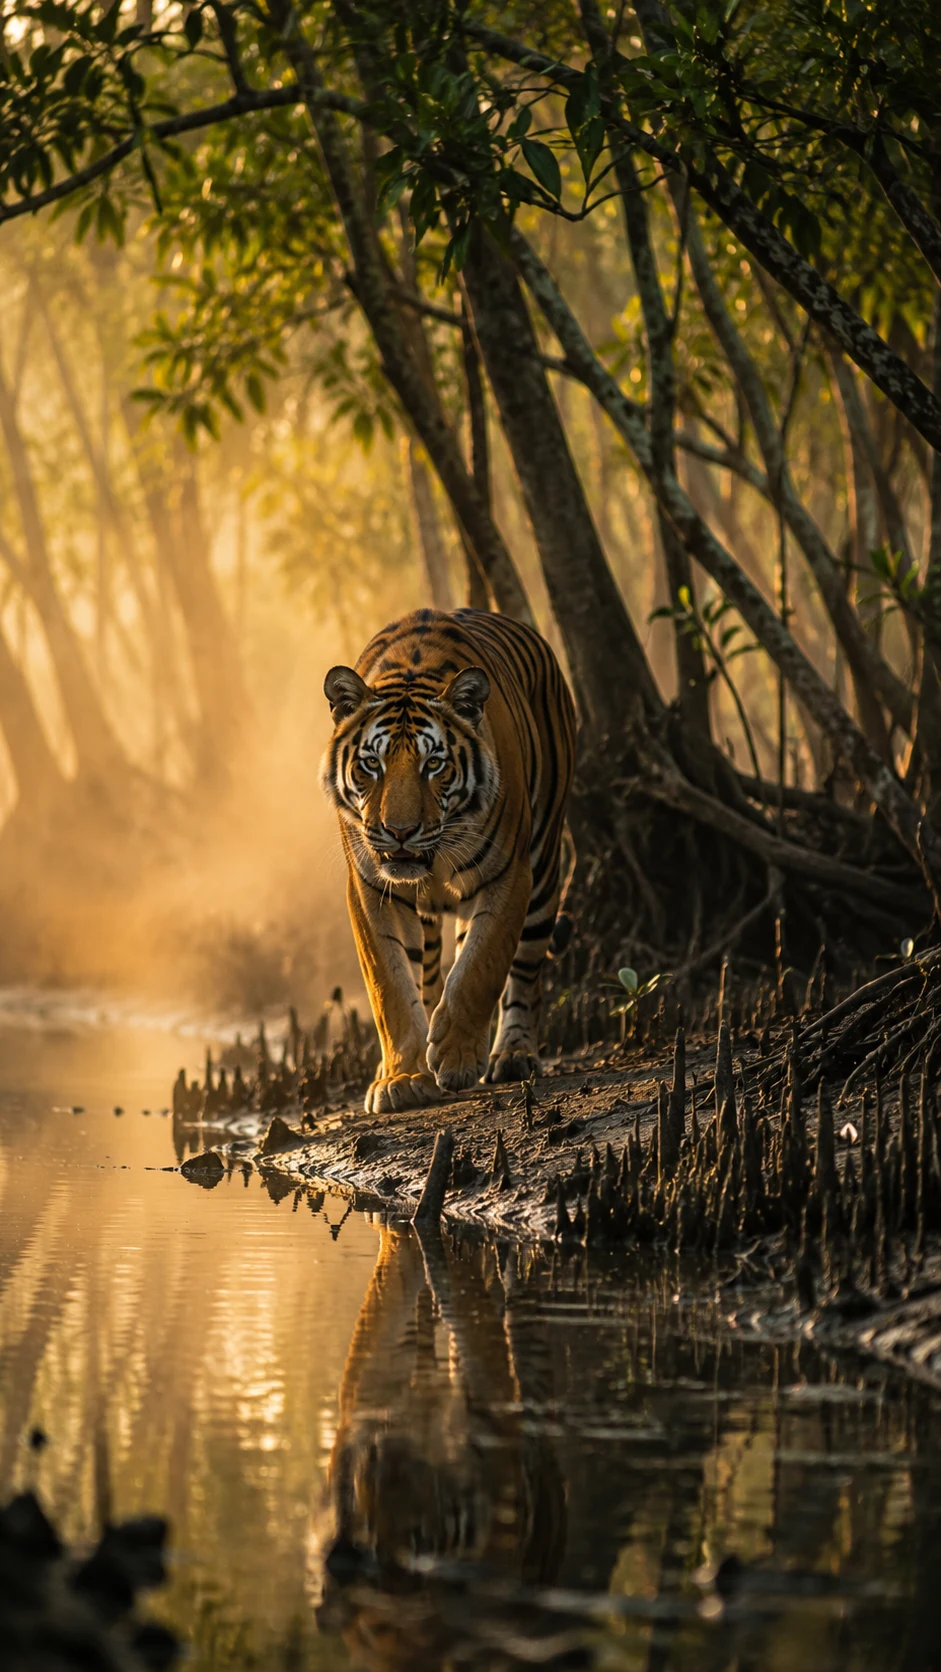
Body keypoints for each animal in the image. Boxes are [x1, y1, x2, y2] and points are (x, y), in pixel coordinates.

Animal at [321, 607, 576, 1114]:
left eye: (433, 764)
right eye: (372, 764)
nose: (400, 831)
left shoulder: (508, 874)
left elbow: (480, 966)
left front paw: (456, 1057)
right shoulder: (370, 888)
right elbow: (390, 985)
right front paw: (401, 1077)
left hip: (544, 869)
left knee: (524, 971)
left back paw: (513, 1054)